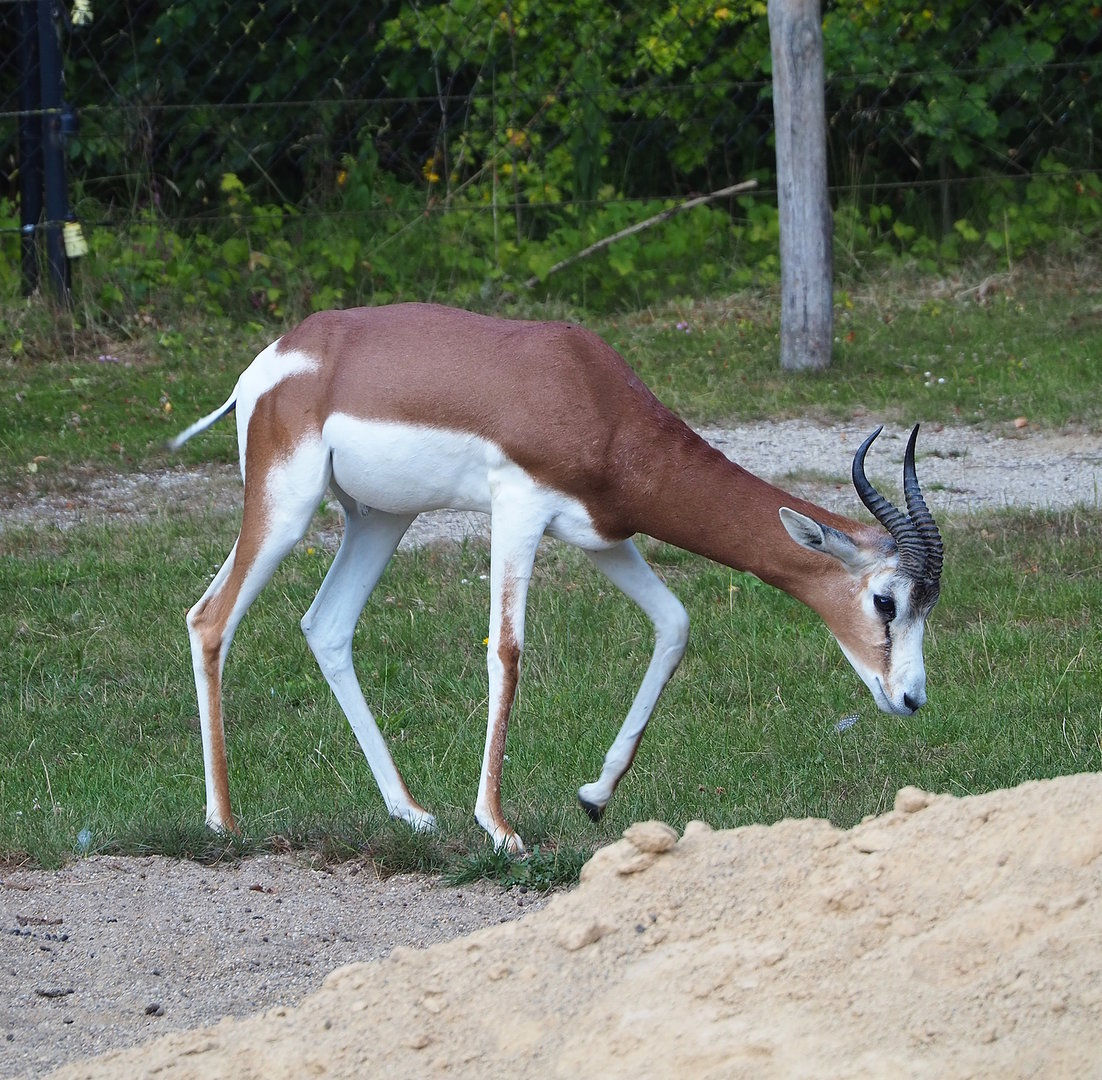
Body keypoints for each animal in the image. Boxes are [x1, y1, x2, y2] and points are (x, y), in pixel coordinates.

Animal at [171, 303, 943, 854]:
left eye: (929, 606)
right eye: (886, 600)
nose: (911, 698)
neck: (593, 398)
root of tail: (272, 360)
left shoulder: (603, 537)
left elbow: (675, 624)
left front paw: (594, 796)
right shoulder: (518, 509)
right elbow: (507, 654)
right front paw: (500, 828)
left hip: (381, 518)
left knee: (326, 626)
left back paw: (413, 814)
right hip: (287, 506)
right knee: (210, 618)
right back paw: (222, 822)